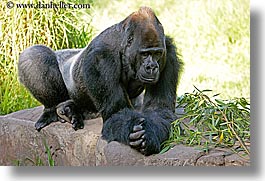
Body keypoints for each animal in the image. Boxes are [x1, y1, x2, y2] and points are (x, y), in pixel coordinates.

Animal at [18, 6, 183, 155]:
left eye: (157, 54)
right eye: (144, 54)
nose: (152, 67)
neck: (123, 46)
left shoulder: (168, 52)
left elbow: (159, 109)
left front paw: (150, 135)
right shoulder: (100, 58)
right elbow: (117, 113)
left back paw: (70, 110)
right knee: (35, 55)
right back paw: (53, 110)